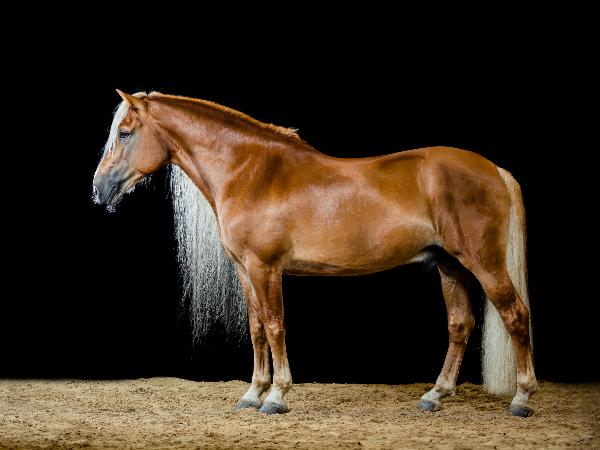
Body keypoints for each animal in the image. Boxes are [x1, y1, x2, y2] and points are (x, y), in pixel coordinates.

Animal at [93, 90, 538, 417]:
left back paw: (521, 399)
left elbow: (275, 326)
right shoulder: (245, 271)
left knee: (516, 315)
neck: (251, 171)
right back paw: (435, 395)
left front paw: (275, 397)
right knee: (460, 325)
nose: (99, 189)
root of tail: (495, 170)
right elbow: (256, 329)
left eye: (125, 133)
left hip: (483, 263)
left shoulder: (265, 268)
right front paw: (252, 393)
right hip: (449, 265)